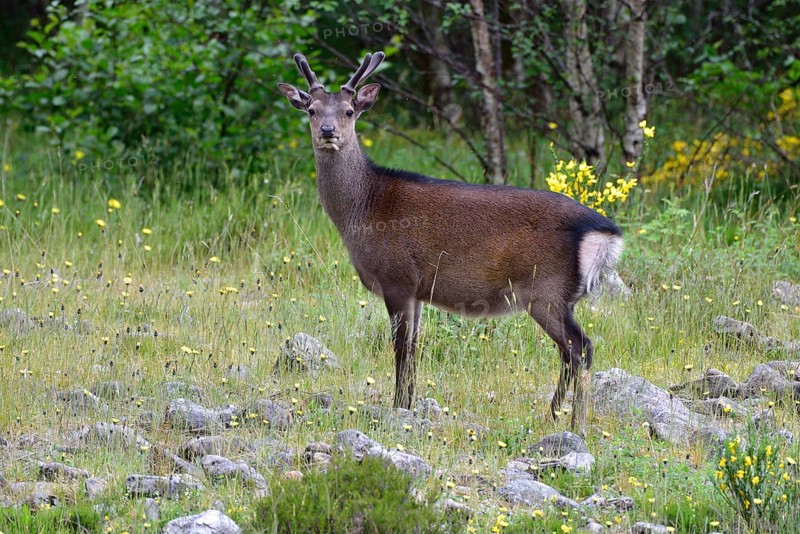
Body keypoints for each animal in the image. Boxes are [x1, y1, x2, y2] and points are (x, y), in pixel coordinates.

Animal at [278, 51, 623, 435]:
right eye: (311, 110)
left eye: (349, 110)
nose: (328, 131)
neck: (362, 210)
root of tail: (605, 233)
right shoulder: (416, 289)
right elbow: (414, 347)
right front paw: (408, 403)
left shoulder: (397, 277)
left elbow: (401, 349)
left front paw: (398, 407)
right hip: (559, 296)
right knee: (570, 351)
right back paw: (553, 415)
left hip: (545, 289)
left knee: (581, 348)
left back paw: (575, 423)